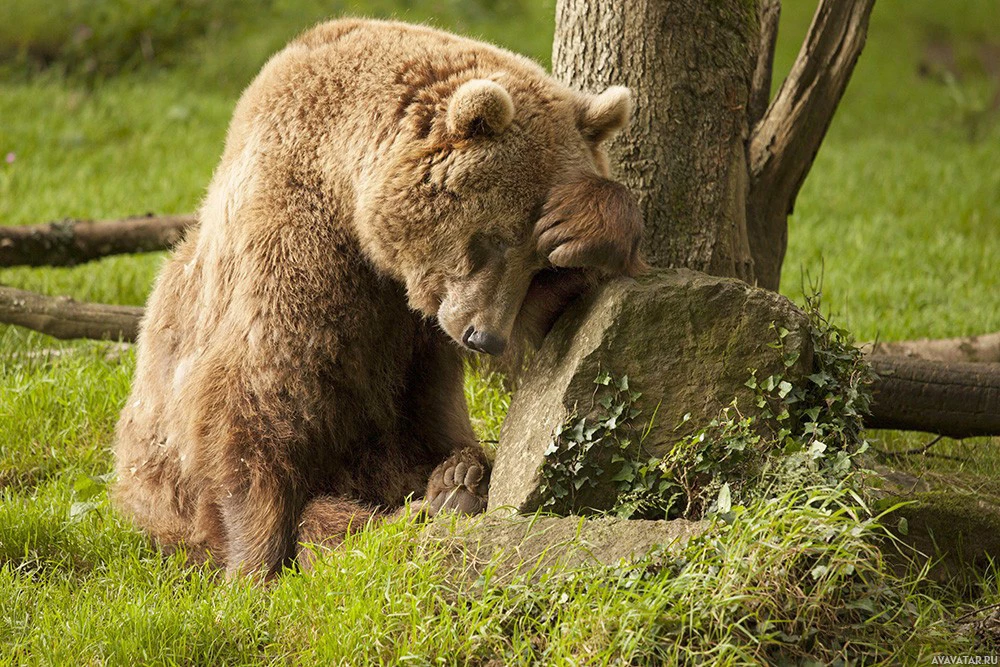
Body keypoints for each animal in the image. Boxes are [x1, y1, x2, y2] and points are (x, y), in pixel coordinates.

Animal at [113, 18, 644, 576]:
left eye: (541, 263)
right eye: (493, 238)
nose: (484, 337)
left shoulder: (422, 314)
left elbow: (551, 338)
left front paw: (587, 222)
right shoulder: (296, 240)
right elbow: (260, 386)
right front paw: (253, 563)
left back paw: (458, 480)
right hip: (163, 490)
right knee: (324, 514)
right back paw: (436, 499)